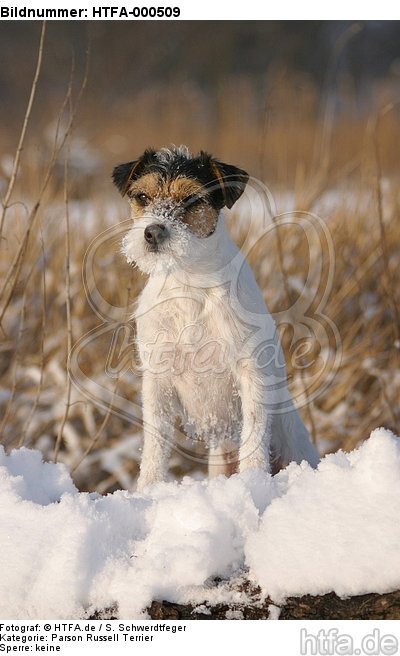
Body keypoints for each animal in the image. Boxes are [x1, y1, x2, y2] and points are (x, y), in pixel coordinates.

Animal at [112, 146, 318, 490]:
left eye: (191, 199)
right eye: (142, 196)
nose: (153, 232)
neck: (189, 283)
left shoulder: (251, 371)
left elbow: (254, 436)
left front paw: (253, 482)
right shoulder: (157, 379)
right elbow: (155, 445)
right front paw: (148, 489)